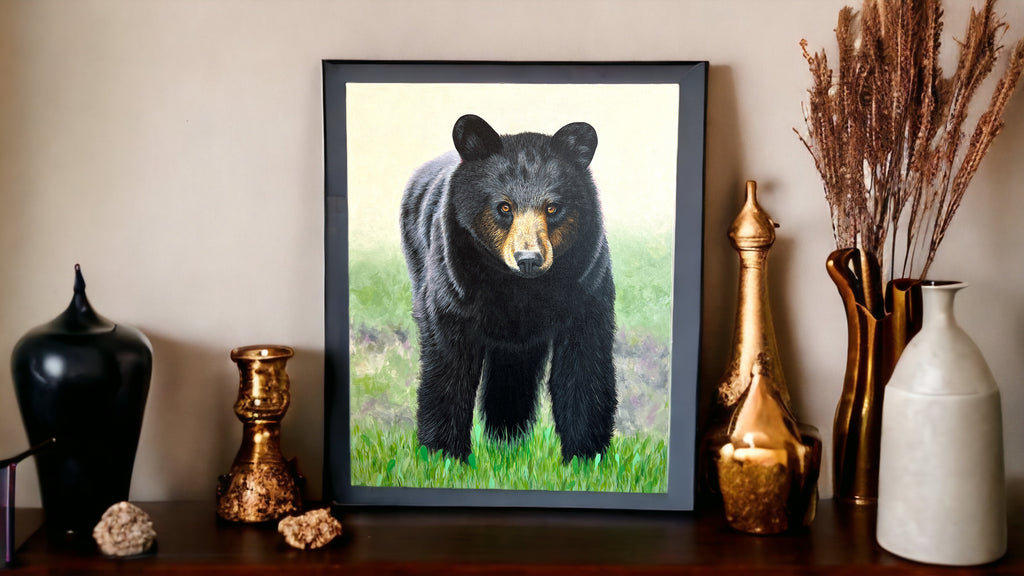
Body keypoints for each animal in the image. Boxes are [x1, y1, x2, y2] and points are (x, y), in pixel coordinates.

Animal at [400, 114, 618, 464]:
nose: (529, 259)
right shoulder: (454, 283)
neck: (519, 288)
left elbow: (584, 363)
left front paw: (587, 458)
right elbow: (448, 363)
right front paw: (443, 456)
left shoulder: (586, 283)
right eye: (504, 207)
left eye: (553, 207)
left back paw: (507, 442)